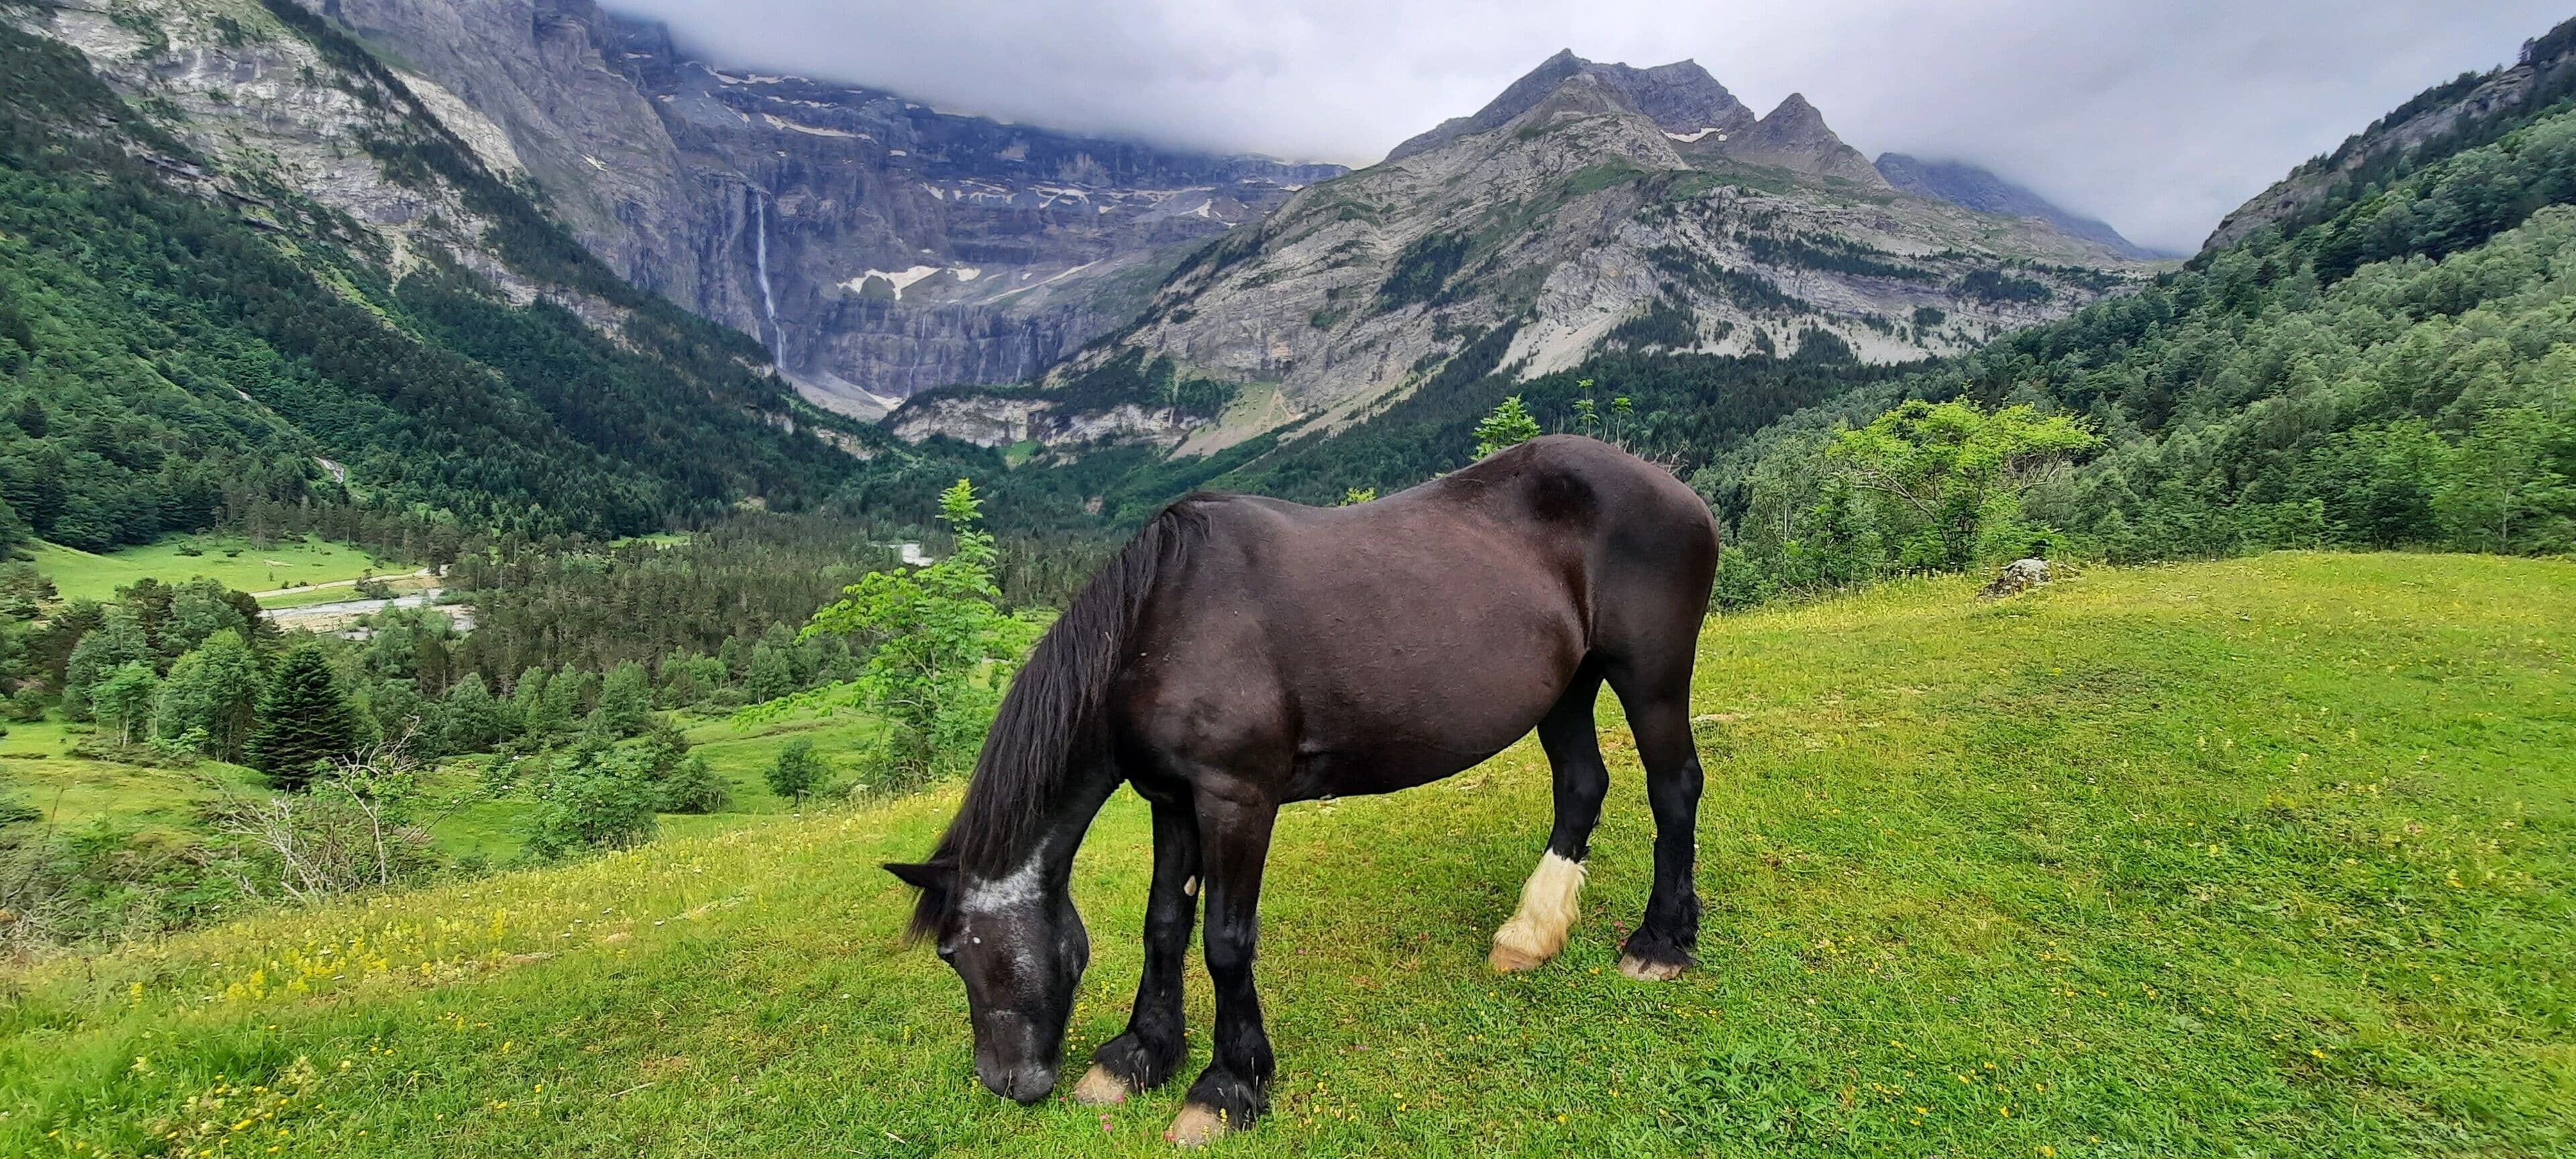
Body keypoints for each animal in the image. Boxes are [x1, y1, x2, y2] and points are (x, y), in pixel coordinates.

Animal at [884, 434, 1719, 1144]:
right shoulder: (1171, 800)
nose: (1005, 1081)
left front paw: (1228, 1086)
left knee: (1674, 788)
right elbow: (1164, 924)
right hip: (1568, 687)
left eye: (957, 952)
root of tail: (1675, 488)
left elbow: (1225, 940)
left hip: (1650, 678)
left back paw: (1661, 944)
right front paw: (1139, 1055)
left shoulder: (1236, 800)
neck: (1160, 626)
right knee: (1581, 785)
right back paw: (1531, 933)